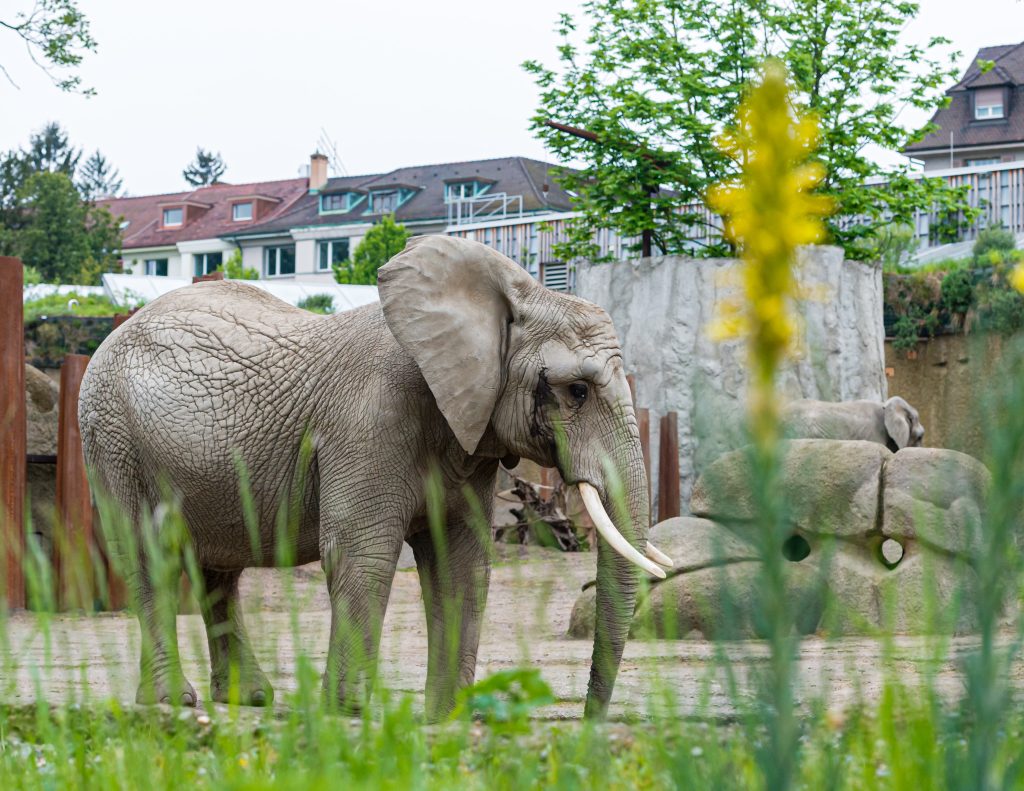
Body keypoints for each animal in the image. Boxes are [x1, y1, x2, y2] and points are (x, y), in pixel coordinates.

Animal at [79, 236, 671, 721]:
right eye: (577, 391)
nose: (588, 716)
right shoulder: (369, 421)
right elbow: (360, 552)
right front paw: (348, 711)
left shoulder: (468, 436)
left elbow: (460, 562)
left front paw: (448, 716)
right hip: (112, 436)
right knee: (147, 555)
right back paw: (171, 702)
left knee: (217, 570)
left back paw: (249, 699)